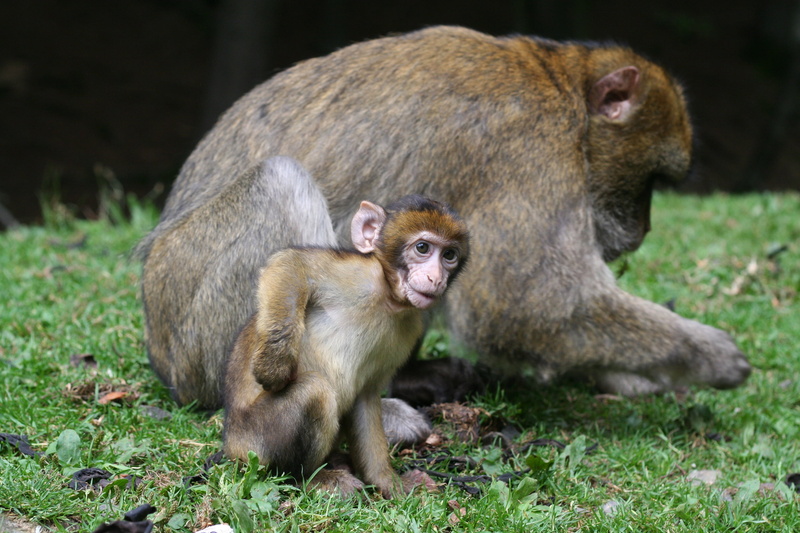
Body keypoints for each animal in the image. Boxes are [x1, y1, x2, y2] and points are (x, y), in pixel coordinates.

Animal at [137, 26, 751, 418]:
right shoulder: (530, 147)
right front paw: (708, 355)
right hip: (194, 324)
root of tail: (160, 355)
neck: (566, 90)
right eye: (652, 180)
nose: (640, 231)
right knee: (280, 183)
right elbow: (526, 307)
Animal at [222, 194, 469, 497]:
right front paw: (274, 363)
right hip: (255, 440)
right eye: (422, 247)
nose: (436, 278)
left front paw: (389, 482)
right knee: (315, 392)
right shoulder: (353, 273)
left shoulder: (409, 329)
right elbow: (291, 263)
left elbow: (367, 395)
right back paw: (308, 477)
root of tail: (231, 441)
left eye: (449, 255)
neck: (387, 298)